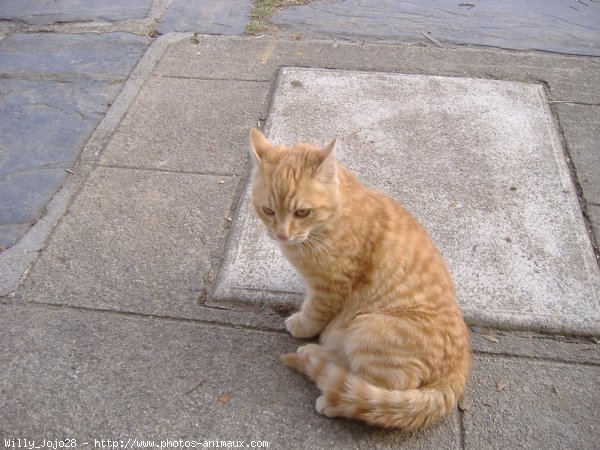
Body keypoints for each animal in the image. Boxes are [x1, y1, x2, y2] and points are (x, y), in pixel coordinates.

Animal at [246, 128, 472, 430]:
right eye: (268, 211)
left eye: (302, 212)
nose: (282, 235)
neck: (330, 222)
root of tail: (460, 366)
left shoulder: (330, 287)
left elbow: (314, 312)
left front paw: (302, 324)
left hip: (369, 329)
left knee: (376, 388)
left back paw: (323, 372)